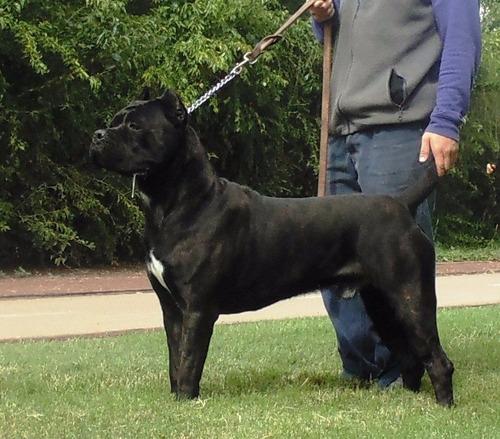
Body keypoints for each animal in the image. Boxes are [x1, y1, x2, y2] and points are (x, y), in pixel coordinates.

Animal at [90, 90, 454, 410]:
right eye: (114, 121)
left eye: (135, 125)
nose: (96, 135)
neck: (178, 202)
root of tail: (400, 203)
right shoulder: (171, 309)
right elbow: (174, 360)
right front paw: (176, 399)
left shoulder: (197, 308)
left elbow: (190, 360)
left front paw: (185, 402)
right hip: (382, 304)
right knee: (409, 357)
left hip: (410, 297)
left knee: (437, 359)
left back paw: (444, 407)